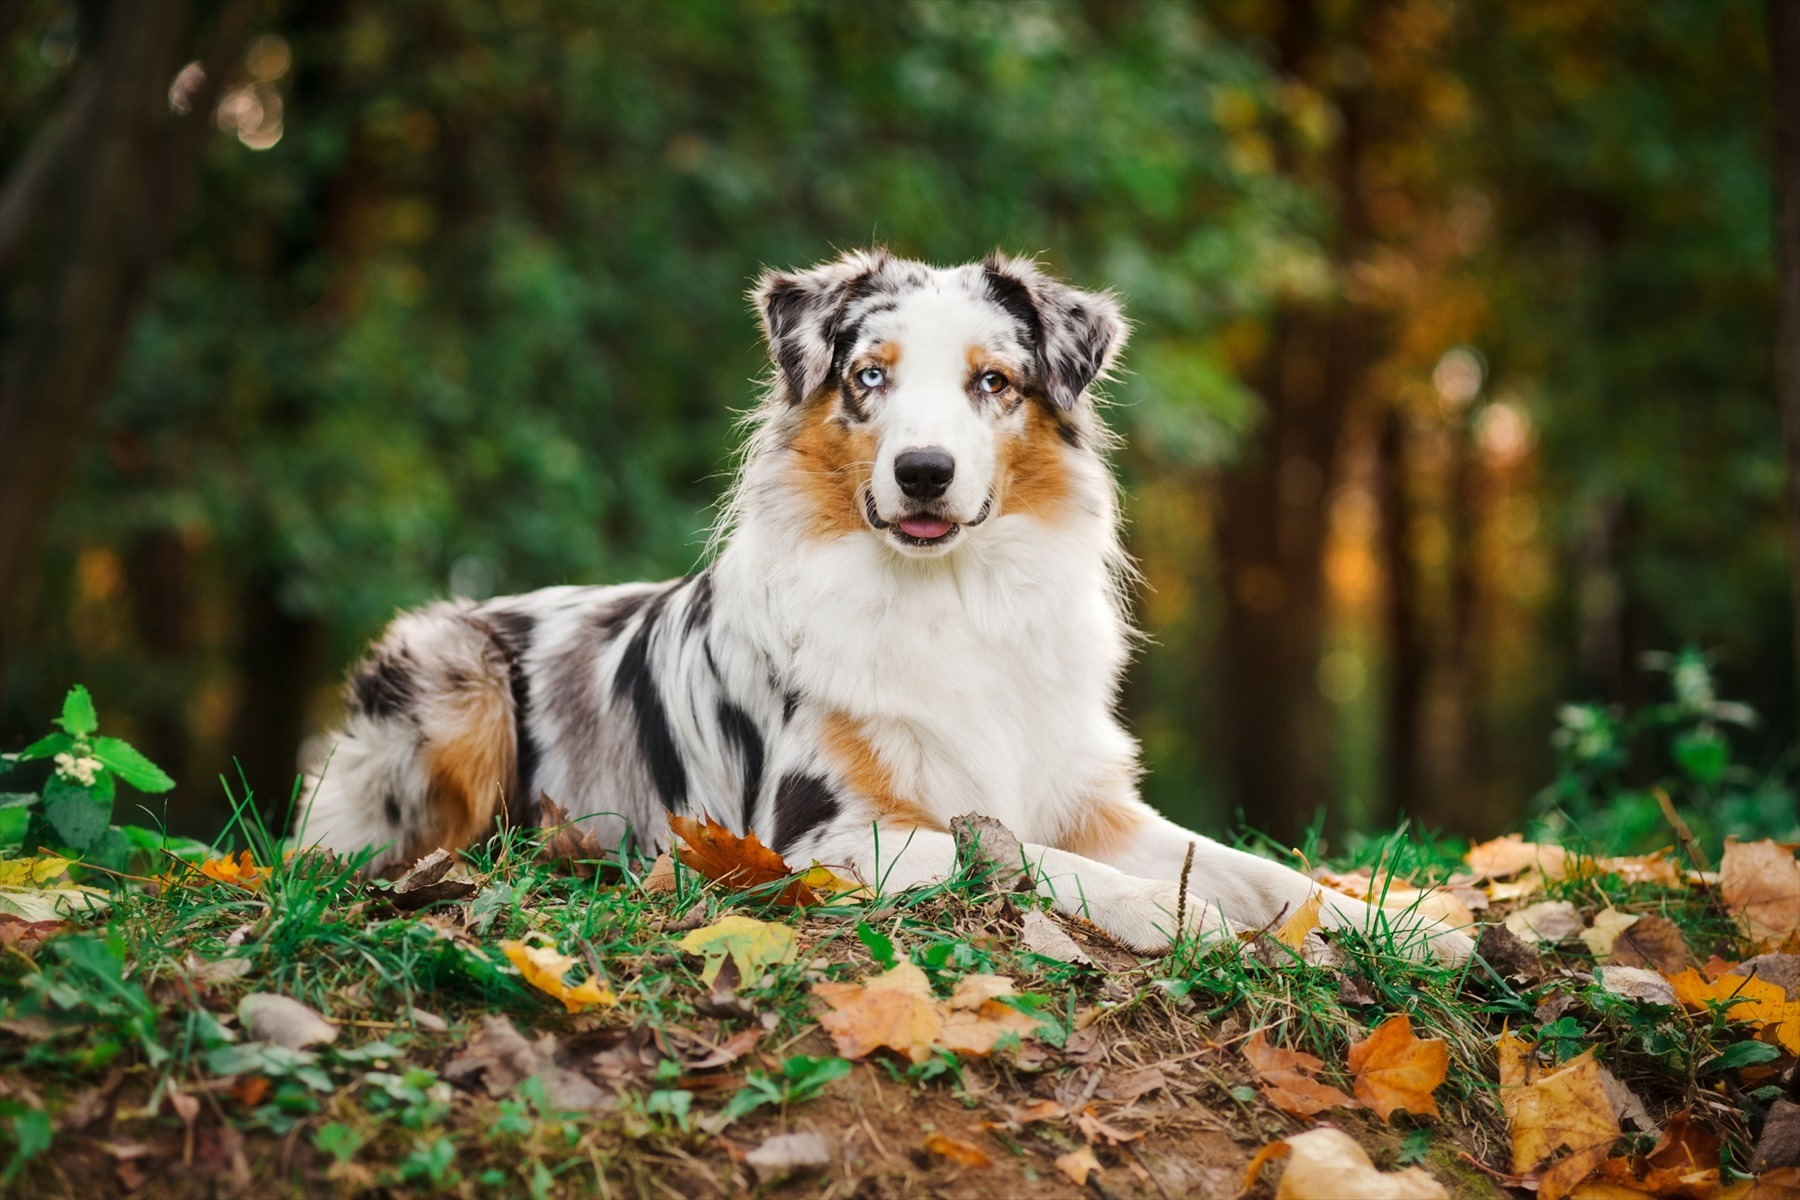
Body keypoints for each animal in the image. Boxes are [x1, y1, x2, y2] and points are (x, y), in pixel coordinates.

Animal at [298, 248, 1476, 964]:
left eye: (993, 383)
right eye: (870, 376)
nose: (922, 472)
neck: (950, 595)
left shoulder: (1089, 800)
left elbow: (1252, 867)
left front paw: (1410, 924)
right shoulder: (822, 836)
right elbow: (1016, 855)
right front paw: (1161, 913)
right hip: (450, 669)